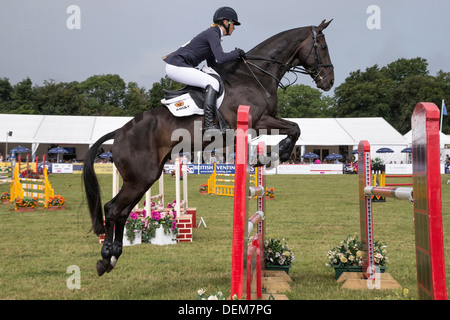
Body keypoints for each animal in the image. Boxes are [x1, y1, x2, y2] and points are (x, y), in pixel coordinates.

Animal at [83, 18, 334, 276]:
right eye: (323, 47)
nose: (329, 81)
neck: (255, 75)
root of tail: (119, 132)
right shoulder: (258, 121)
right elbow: (294, 128)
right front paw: (276, 154)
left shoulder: (263, 122)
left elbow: (294, 127)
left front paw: (270, 156)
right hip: (140, 178)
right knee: (113, 209)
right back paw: (106, 257)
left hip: (144, 179)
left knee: (122, 213)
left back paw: (112, 258)